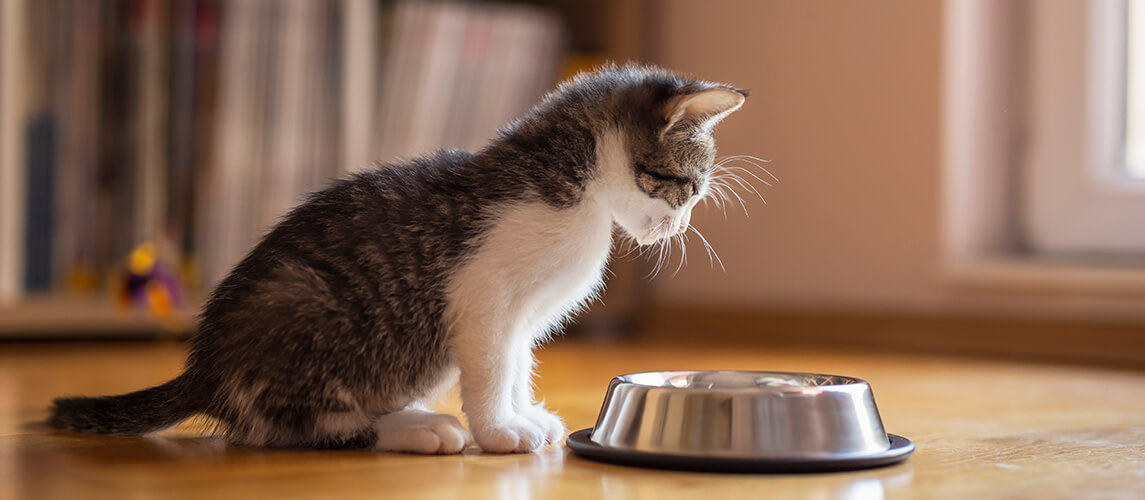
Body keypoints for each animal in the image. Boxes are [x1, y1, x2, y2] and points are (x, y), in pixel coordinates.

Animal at [49, 64, 751, 453]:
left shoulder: (522, 314)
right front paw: (500, 432)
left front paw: (523, 413)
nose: (678, 226)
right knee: (280, 427)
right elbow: (491, 366)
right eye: (687, 188)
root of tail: (205, 367)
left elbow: (517, 362)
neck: (571, 184)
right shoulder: (484, 293)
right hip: (302, 303)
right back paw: (413, 431)